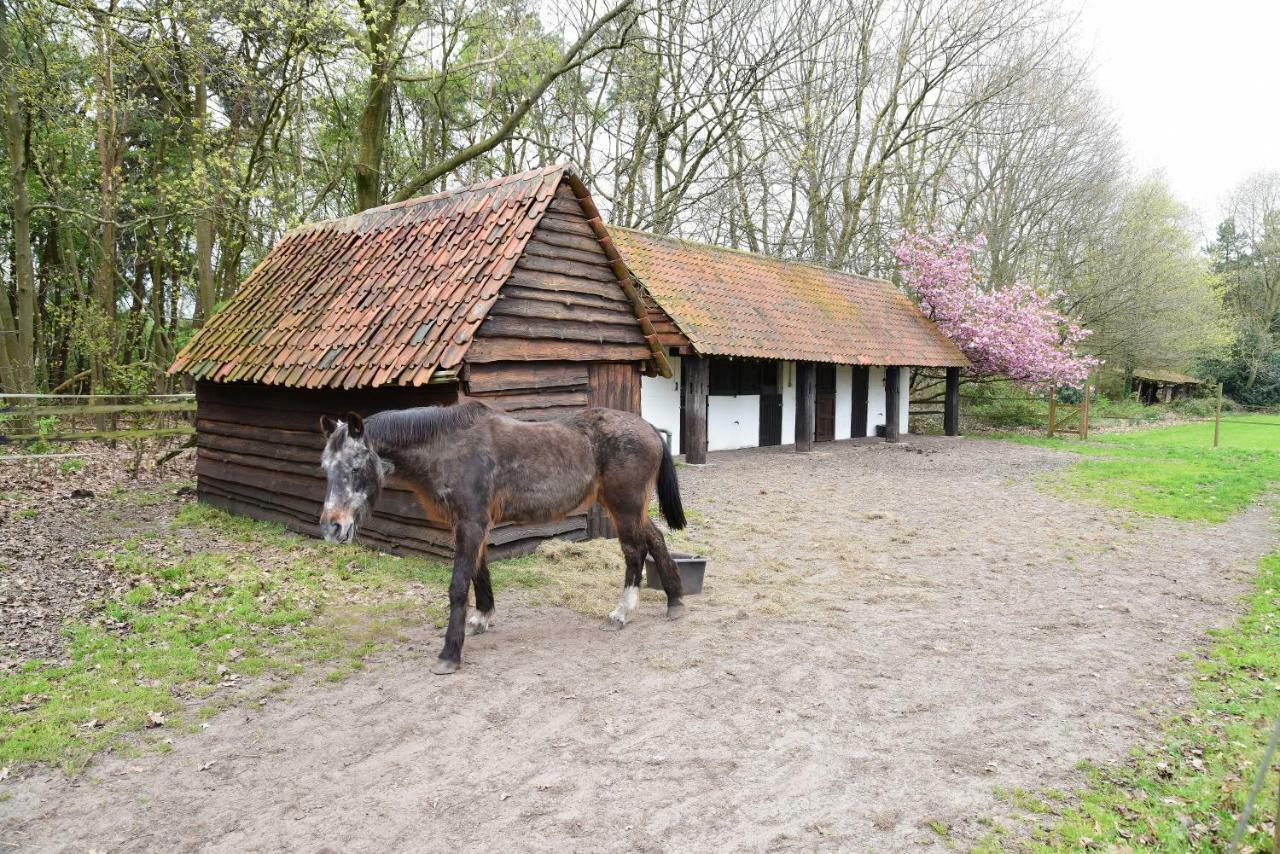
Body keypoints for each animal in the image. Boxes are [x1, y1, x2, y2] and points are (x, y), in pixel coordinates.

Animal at [317, 402, 691, 676]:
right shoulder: (469, 525)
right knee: (656, 539)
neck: (449, 449)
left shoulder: (471, 523)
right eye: (326, 468)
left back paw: (621, 613)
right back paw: (675, 601)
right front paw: (482, 617)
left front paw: (450, 653)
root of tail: (650, 429)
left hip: (624, 507)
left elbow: (458, 585)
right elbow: (479, 572)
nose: (332, 527)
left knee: (634, 552)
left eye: (354, 467)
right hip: (628, 508)